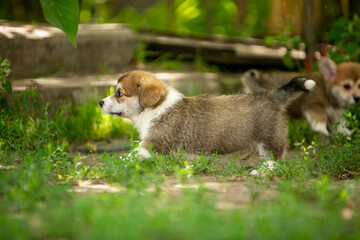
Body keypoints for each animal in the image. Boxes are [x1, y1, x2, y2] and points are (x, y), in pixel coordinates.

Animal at [100, 70, 314, 166]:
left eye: (119, 93)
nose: (100, 103)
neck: (156, 107)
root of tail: (272, 95)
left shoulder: (151, 143)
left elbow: (132, 153)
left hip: (269, 140)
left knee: (274, 161)